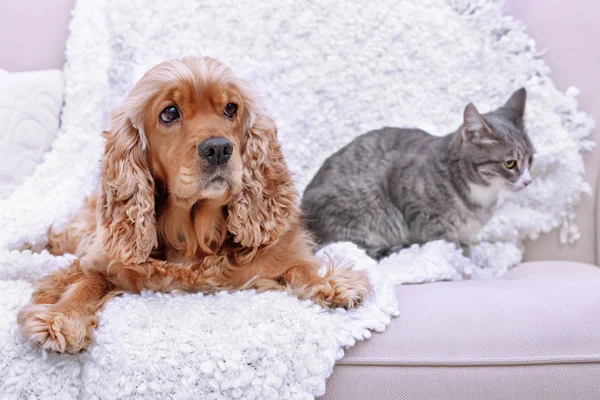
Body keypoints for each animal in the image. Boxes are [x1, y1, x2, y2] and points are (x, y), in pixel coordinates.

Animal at [304, 87, 536, 260]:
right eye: (510, 163)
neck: (481, 196)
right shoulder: (411, 204)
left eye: (531, 160)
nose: (528, 181)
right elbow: (446, 240)